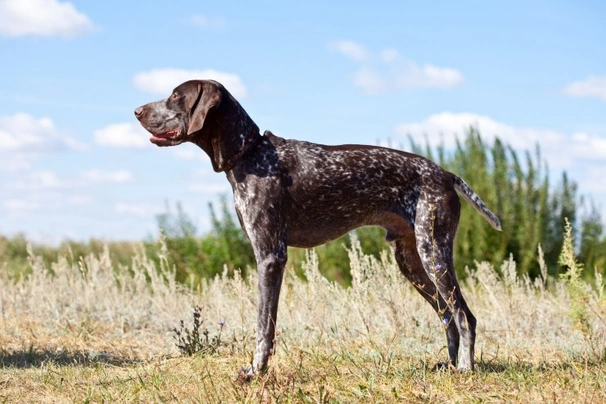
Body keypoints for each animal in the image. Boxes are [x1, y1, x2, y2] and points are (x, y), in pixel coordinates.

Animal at [137, 79, 504, 378]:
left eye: (175, 96)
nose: (137, 111)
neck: (250, 153)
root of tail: (445, 173)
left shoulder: (270, 257)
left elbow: (263, 326)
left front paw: (256, 372)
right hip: (411, 260)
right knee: (447, 315)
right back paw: (450, 365)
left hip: (433, 252)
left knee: (464, 316)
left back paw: (465, 369)